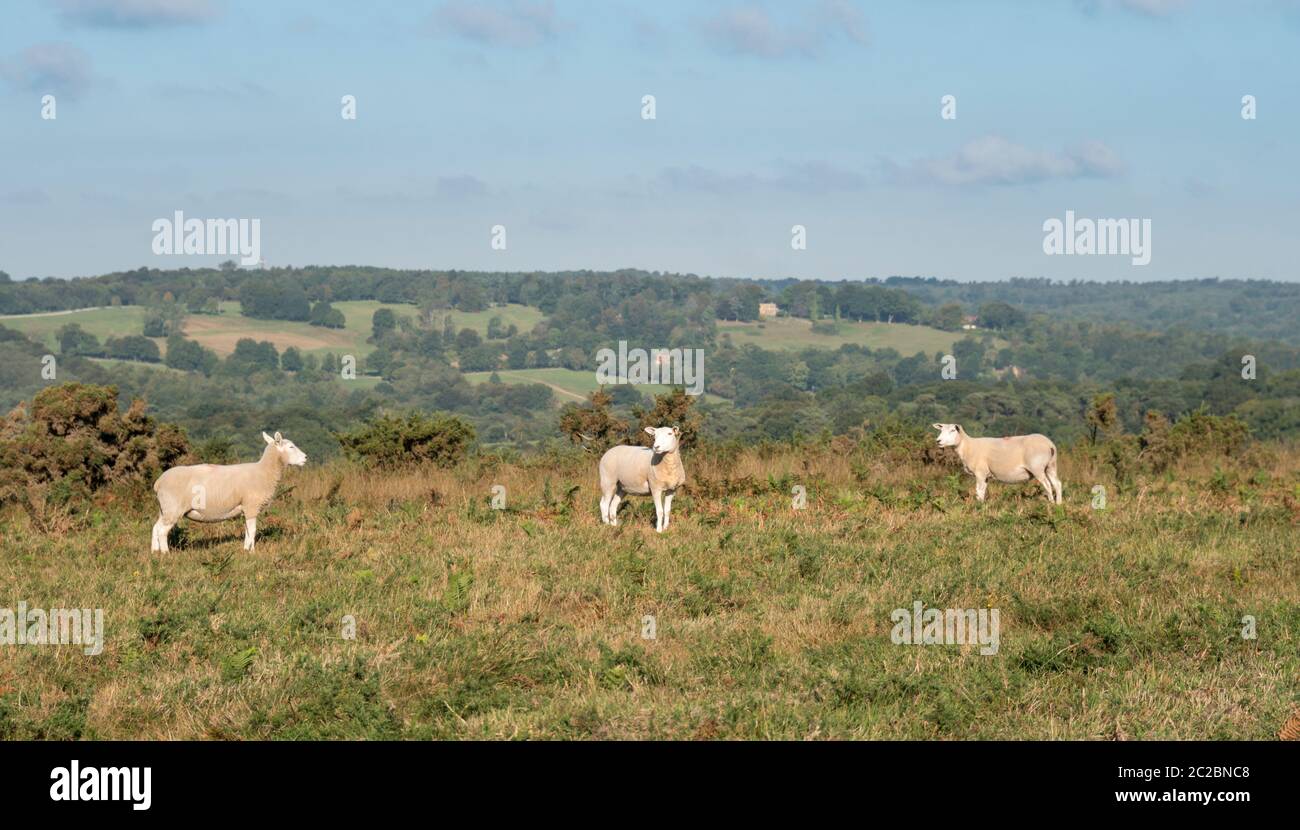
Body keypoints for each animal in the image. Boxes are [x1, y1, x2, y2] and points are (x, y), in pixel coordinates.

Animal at [150, 431, 307, 553]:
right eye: (291, 446)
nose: (306, 457)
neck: (263, 471)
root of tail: (158, 483)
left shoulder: (245, 508)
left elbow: (247, 530)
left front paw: (245, 549)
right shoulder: (251, 506)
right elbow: (253, 530)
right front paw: (253, 552)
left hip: (164, 509)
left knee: (155, 528)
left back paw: (155, 552)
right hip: (172, 508)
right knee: (162, 531)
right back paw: (165, 553)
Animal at [933, 423, 1062, 504]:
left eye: (952, 430)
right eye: (941, 430)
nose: (938, 441)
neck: (967, 446)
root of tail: (1050, 445)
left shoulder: (980, 473)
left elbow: (978, 491)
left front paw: (978, 506)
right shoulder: (986, 475)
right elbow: (983, 491)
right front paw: (982, 505)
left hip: (1037, 468)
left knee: (1047, 485)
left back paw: (1050, 503)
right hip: (1051, 466)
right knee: (1057, 484)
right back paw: (1058, 504)